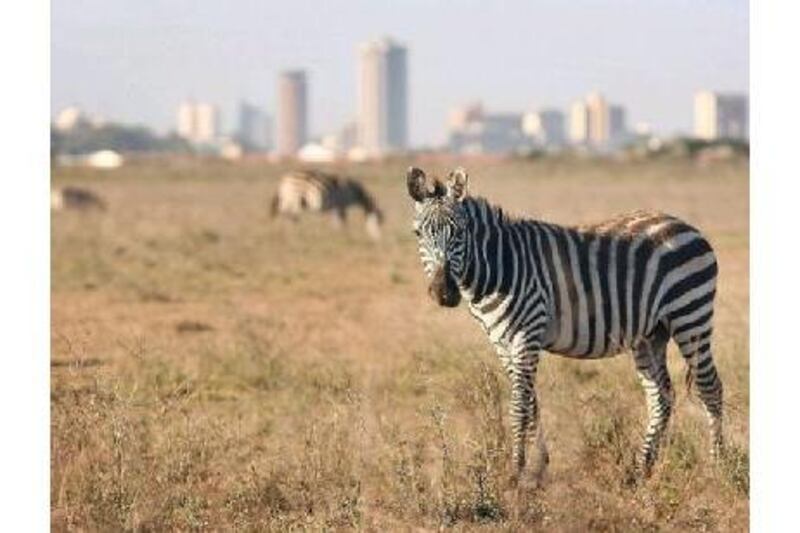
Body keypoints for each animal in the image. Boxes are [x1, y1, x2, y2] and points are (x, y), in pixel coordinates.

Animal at [406, 165, 724, 482]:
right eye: (418, 233)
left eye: (460, 232)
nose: (444, 293)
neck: (500, 265)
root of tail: (685, 225)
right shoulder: (501, 340)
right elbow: (531, 402)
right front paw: (538, 467)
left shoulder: (528, 332)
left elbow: (519, 405)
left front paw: (516, 471)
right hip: (651, 333)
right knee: (661, 396)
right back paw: (641, 469)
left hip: (690, 314)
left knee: (710, 388)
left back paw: (717, 467)